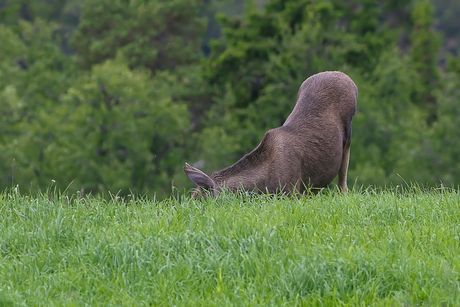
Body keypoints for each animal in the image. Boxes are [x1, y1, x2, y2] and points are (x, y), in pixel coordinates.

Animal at [184, 71, 360, 199]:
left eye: (202, 201)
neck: (261, 186)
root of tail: (347, 78)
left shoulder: (291, 192)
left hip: (348, 136)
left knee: (343, 175)